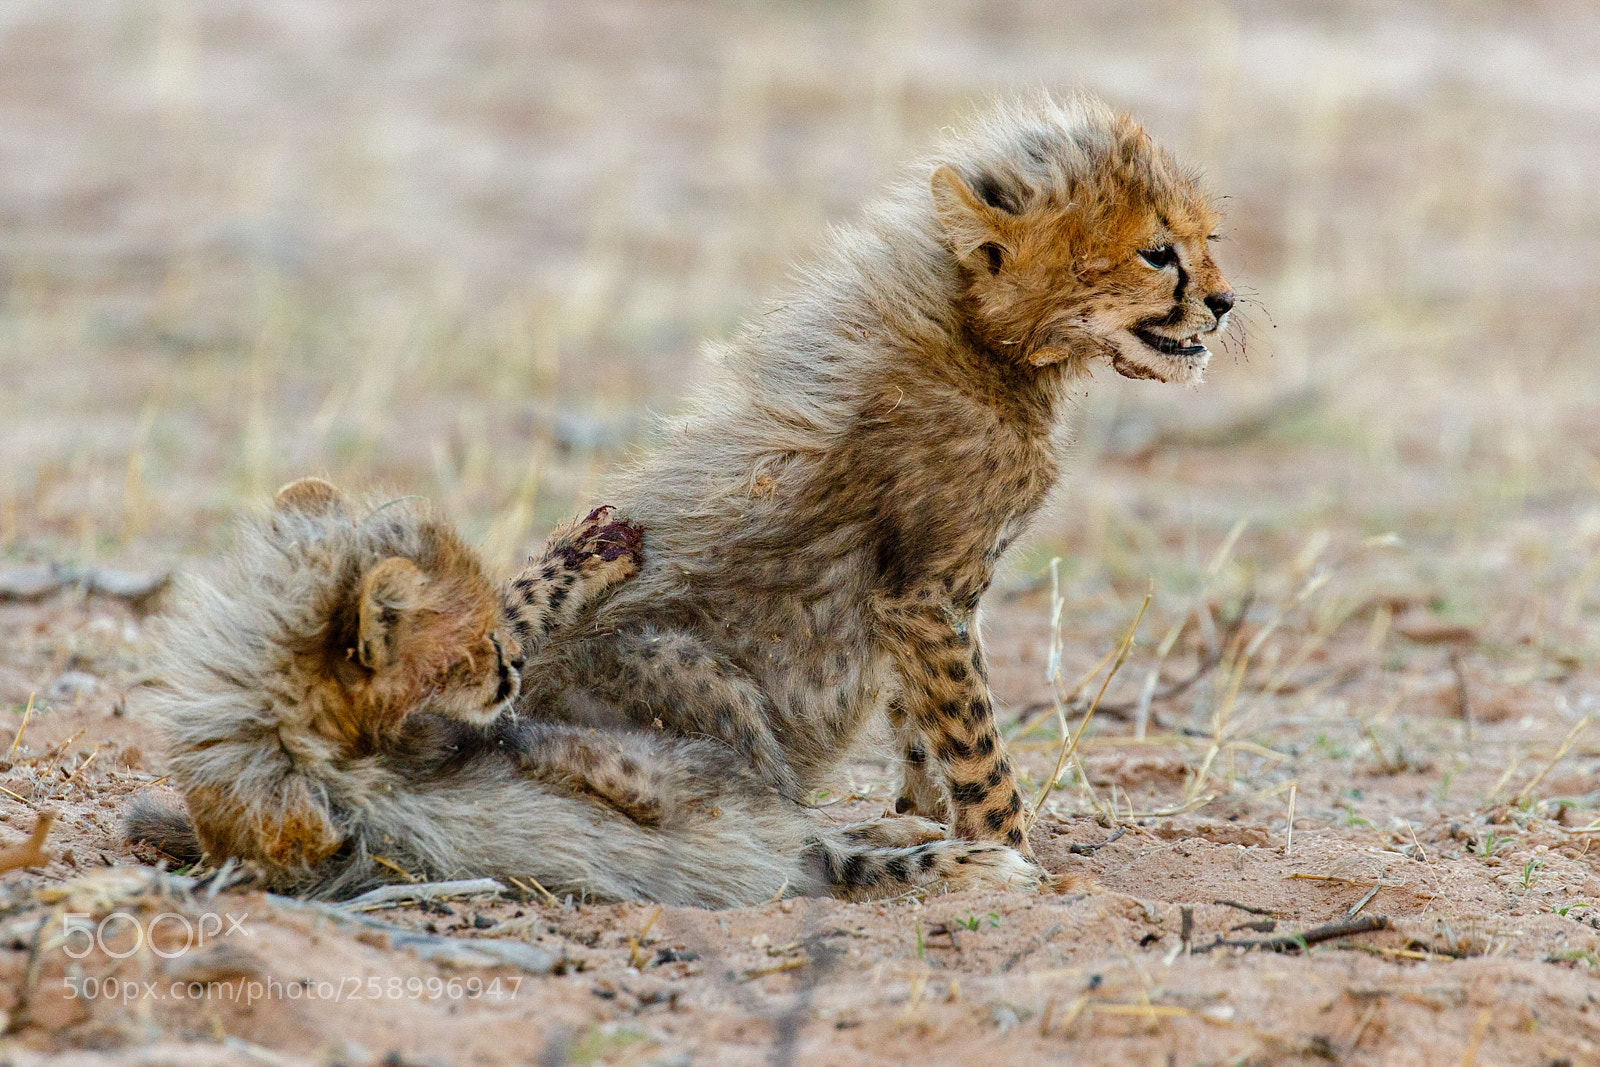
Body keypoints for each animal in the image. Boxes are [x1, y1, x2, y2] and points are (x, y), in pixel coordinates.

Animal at [516, 90, 1234, 859]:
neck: (981, 343)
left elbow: (921, 724)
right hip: (681, 663)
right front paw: (1009, 850)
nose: (1224, 304)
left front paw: (925, 816)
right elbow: (977, 744)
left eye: (1209, 240)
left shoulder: (923, 607)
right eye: (1157, 253)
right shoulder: (924, 595)